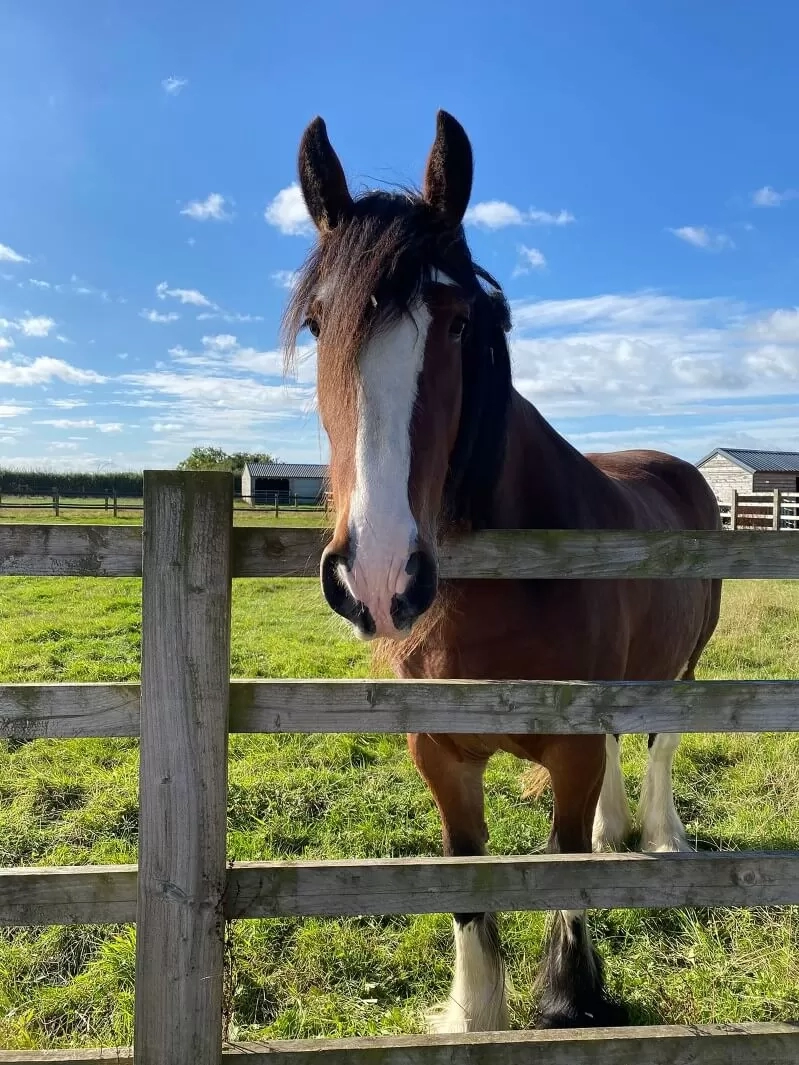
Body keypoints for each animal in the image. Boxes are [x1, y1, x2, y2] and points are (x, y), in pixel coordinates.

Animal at [283, 110, 721, 1033]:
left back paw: (660, 835)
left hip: (683, 666)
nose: (378, 571)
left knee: (659, 741)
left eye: (457, 324)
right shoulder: (439, 754)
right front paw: (478, 1007)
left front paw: (568, 995)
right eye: (316, 325)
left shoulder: (569, 747)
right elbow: (465, 881)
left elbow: (562, 868)